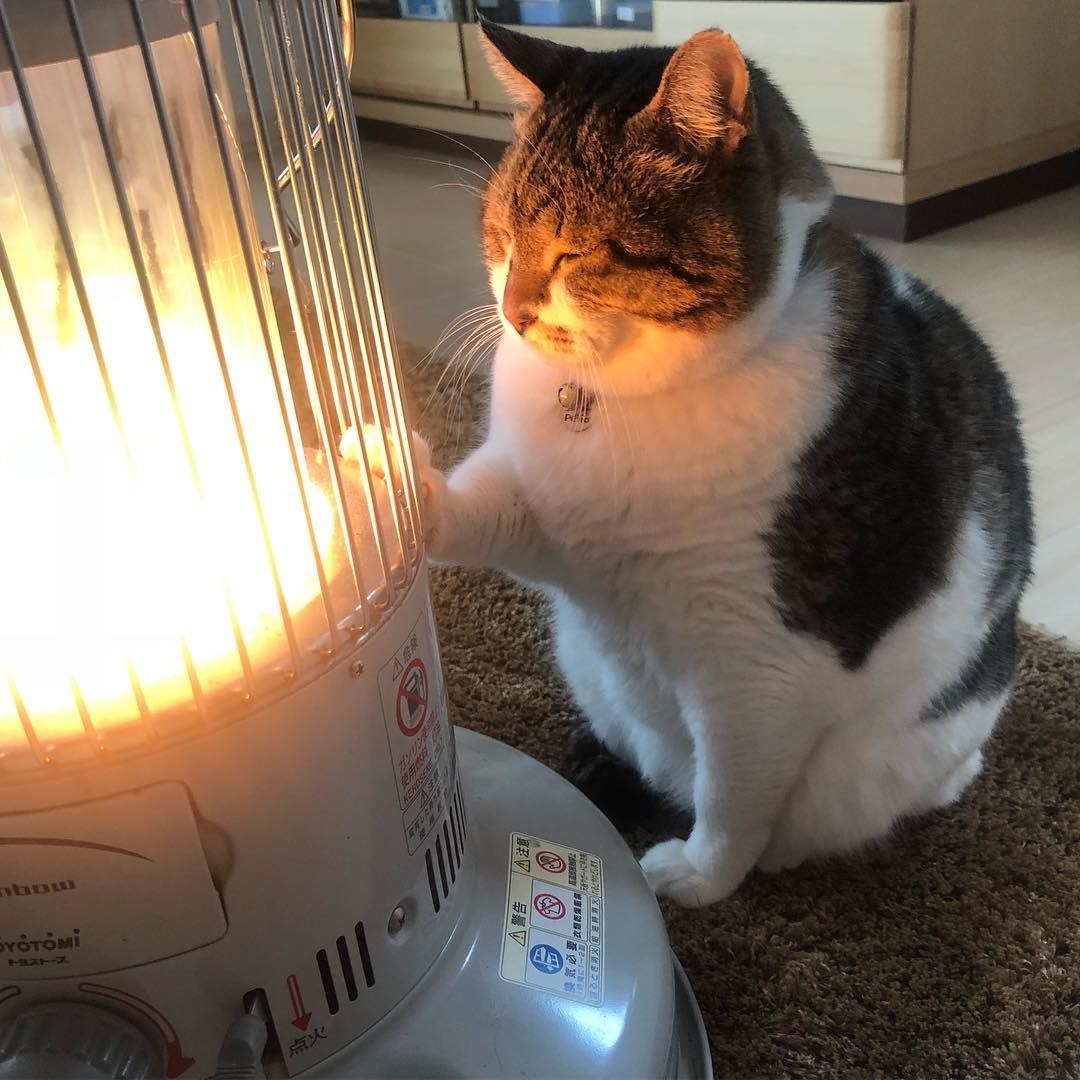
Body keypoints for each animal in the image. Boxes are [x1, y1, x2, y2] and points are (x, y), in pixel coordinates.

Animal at [408, 21, 1032, 907]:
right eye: (502, 233)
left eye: (575, 252)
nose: (512, 310)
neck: (618, 399)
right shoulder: (542, 515)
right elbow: (483, 510)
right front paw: (379, 482)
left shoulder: (758, 664)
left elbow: (732, 792)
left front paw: (700, 875)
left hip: (910, 746)